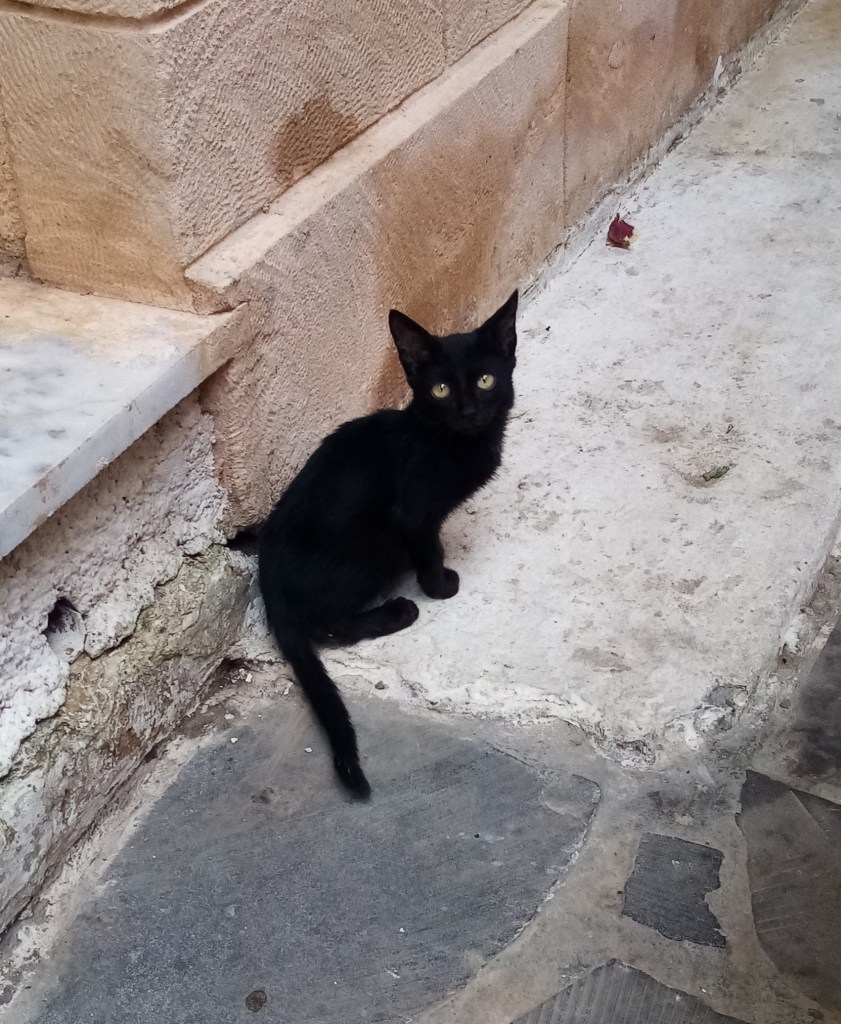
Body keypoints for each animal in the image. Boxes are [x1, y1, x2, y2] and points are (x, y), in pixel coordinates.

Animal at [258, 291, 518, 799]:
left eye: (485, 380)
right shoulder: (412, 515)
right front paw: (440, 585)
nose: (468, 412)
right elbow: (429, 549)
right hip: (371, 548)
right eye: (440, 390)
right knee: (326, 625)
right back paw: (398, 612)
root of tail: (267, 579)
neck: (448, 439)